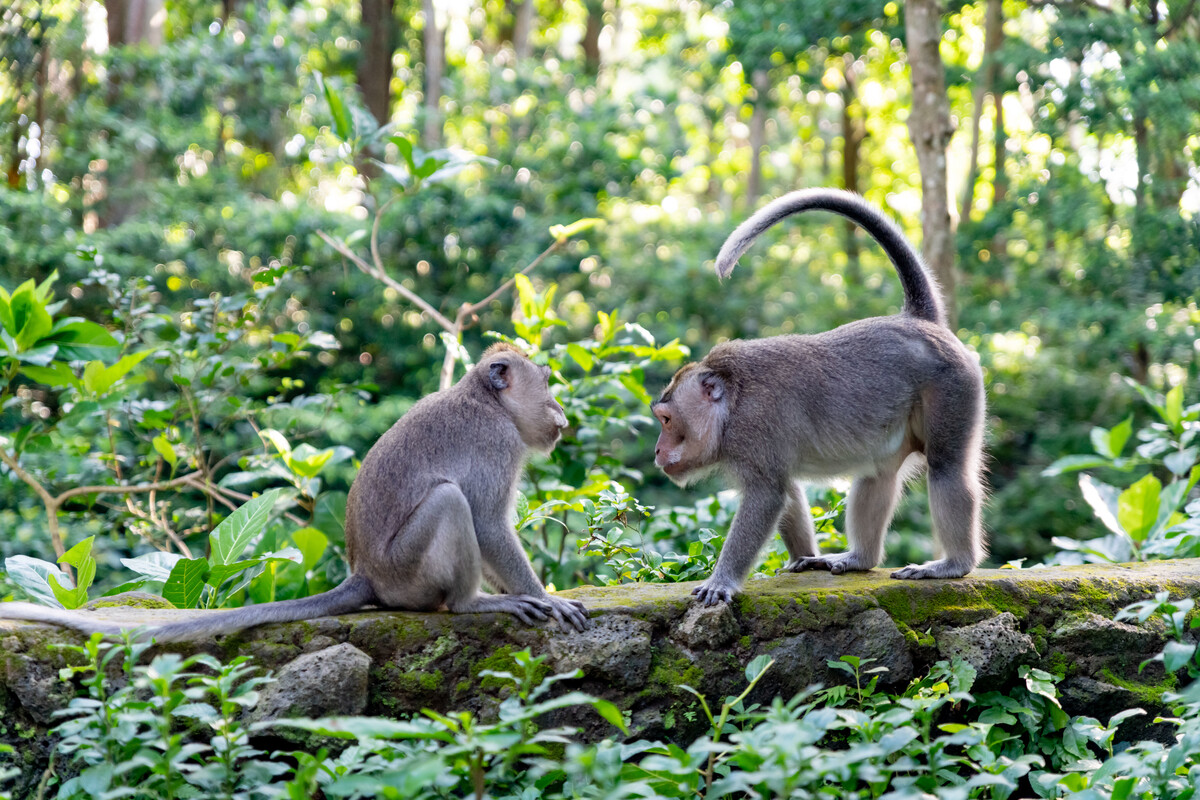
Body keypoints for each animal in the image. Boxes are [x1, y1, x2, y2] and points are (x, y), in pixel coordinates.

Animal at [0, 345, 590, 638]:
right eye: (547, 382)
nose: (560, 410)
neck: (488, 403)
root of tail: (365, 574)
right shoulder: (498, 443)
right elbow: (488, 523)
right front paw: (543, 598)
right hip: (408, 571)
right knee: (450, 501)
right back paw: (472, 605)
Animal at [657, 189, 984, 606]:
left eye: (667, 420)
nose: (658, 450)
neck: (732, 403)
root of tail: (919, 322)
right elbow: (788, 493)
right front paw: (803, 557)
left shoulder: (753, 427)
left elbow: (766, 496)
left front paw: (721, 580)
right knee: (876, 474)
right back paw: (860, 559)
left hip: (953, 387)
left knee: (946, 468)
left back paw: (954, 564)